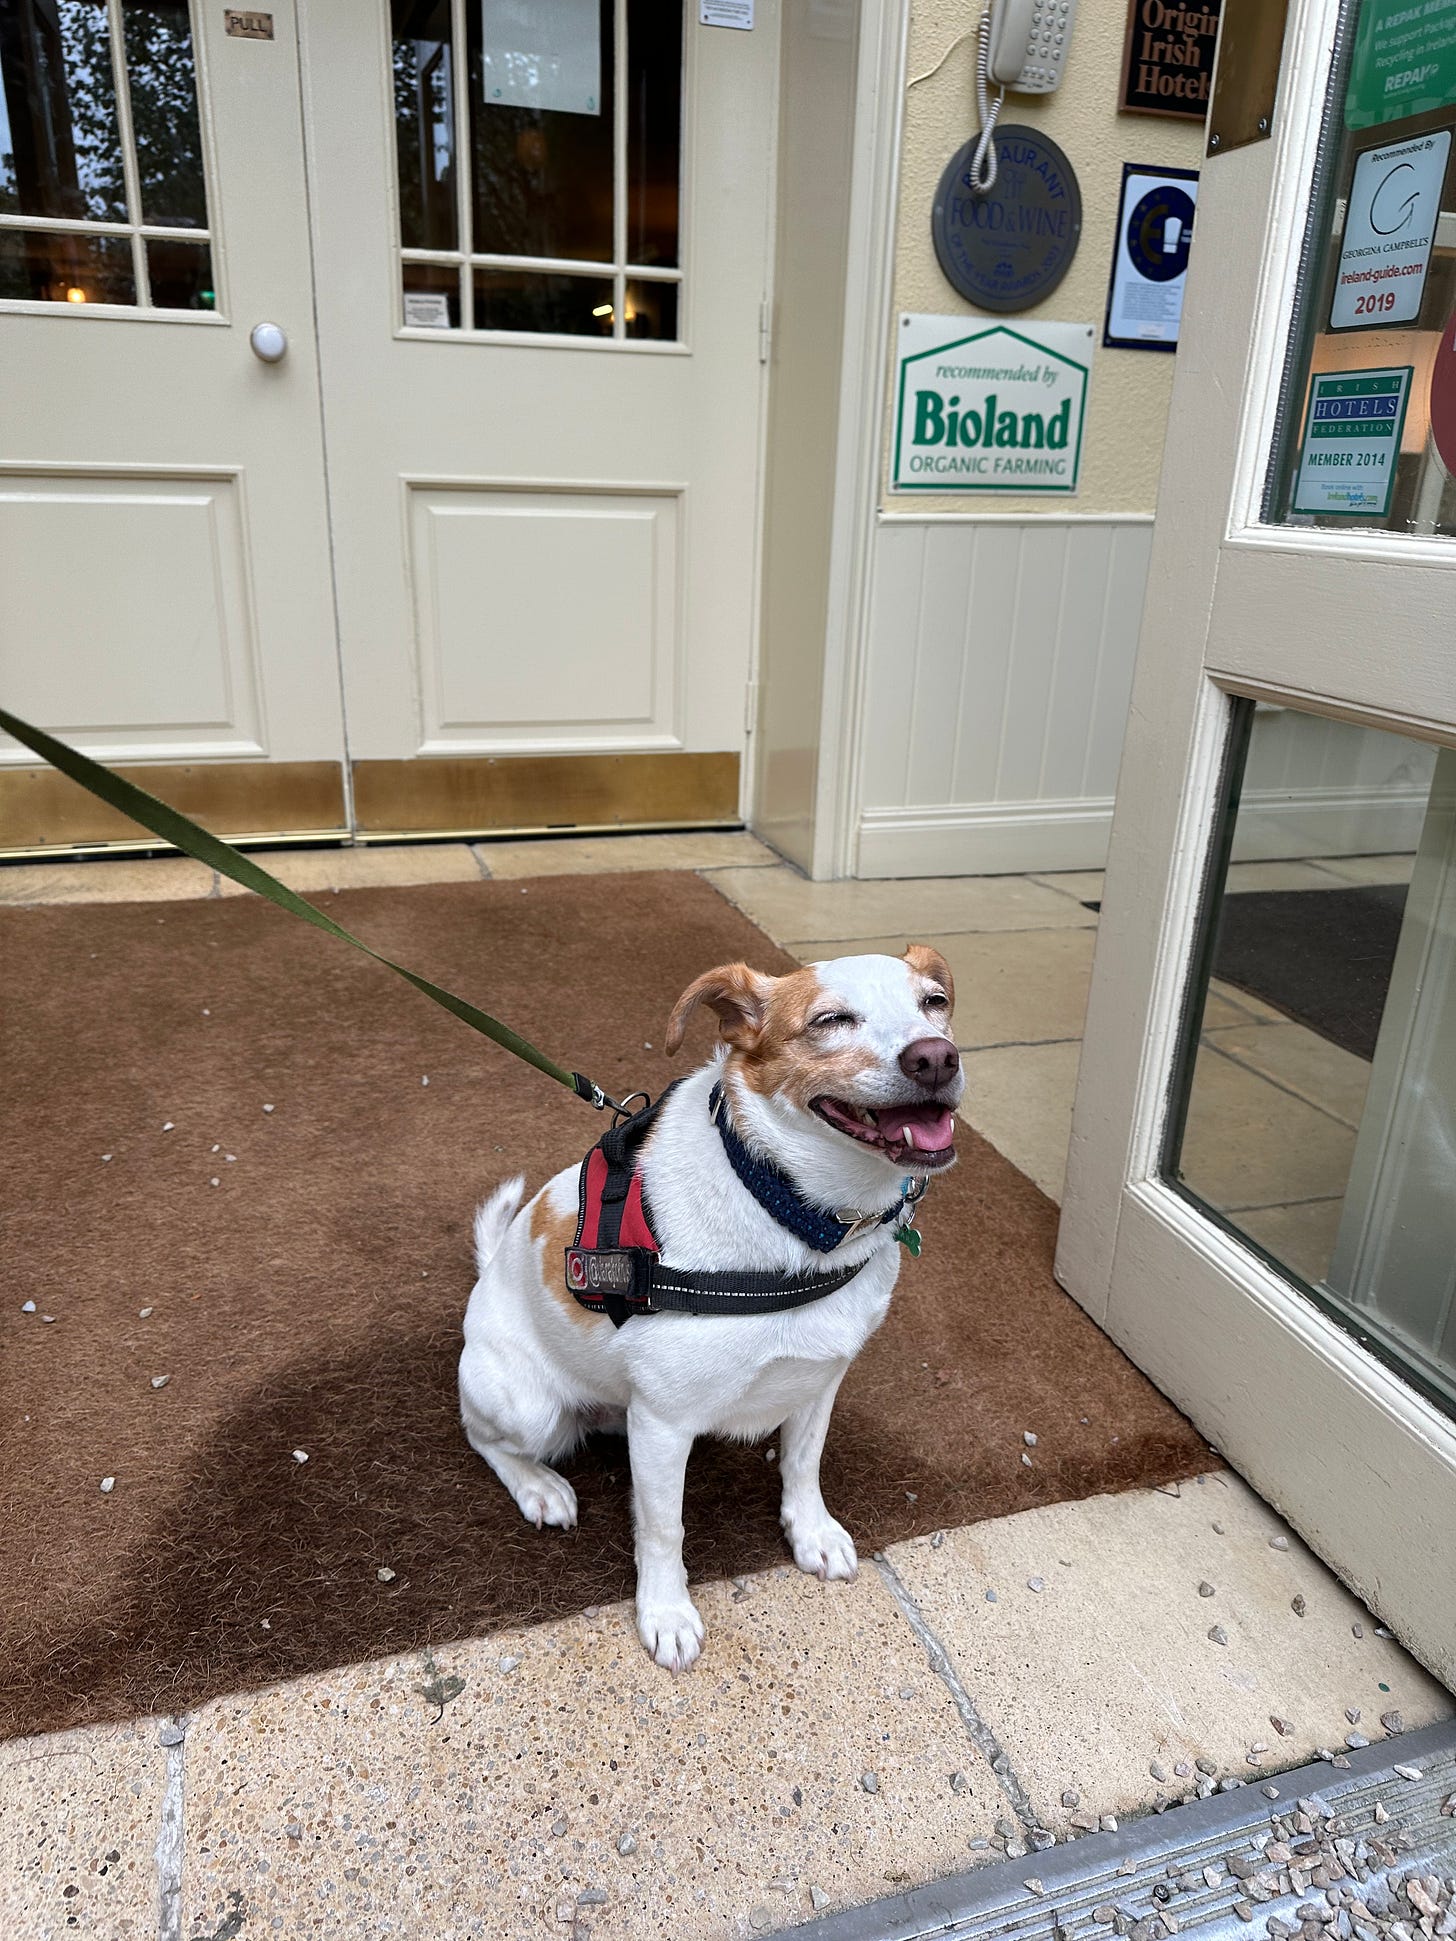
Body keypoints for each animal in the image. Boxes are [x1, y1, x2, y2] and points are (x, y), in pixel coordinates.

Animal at [462, 943, 962, 1669]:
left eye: (935, 1003)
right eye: (831, 1020)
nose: (936, 1058)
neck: (798, 1216)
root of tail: (485, 1278)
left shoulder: (819, 1378)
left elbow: (804, 1464)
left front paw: (811, 1532)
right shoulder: (665, 1422)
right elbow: (663, 1528)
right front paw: (666, 1612)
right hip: (529, 1407)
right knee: (484, 1437)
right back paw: (539, 1487)